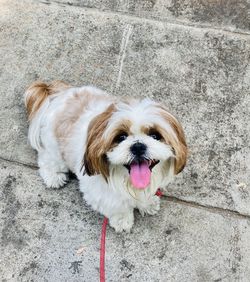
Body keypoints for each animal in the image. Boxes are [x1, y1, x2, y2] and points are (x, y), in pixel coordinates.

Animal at [24, 80, 188, 232]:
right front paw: (122, 220)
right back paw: (54, 177)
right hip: (54, 147)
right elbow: (116, 205)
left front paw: (147, 203)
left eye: (155, 135)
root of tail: (59, 94)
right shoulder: (98, 191)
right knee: (47, 160)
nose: (138, 146)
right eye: (121, 137)